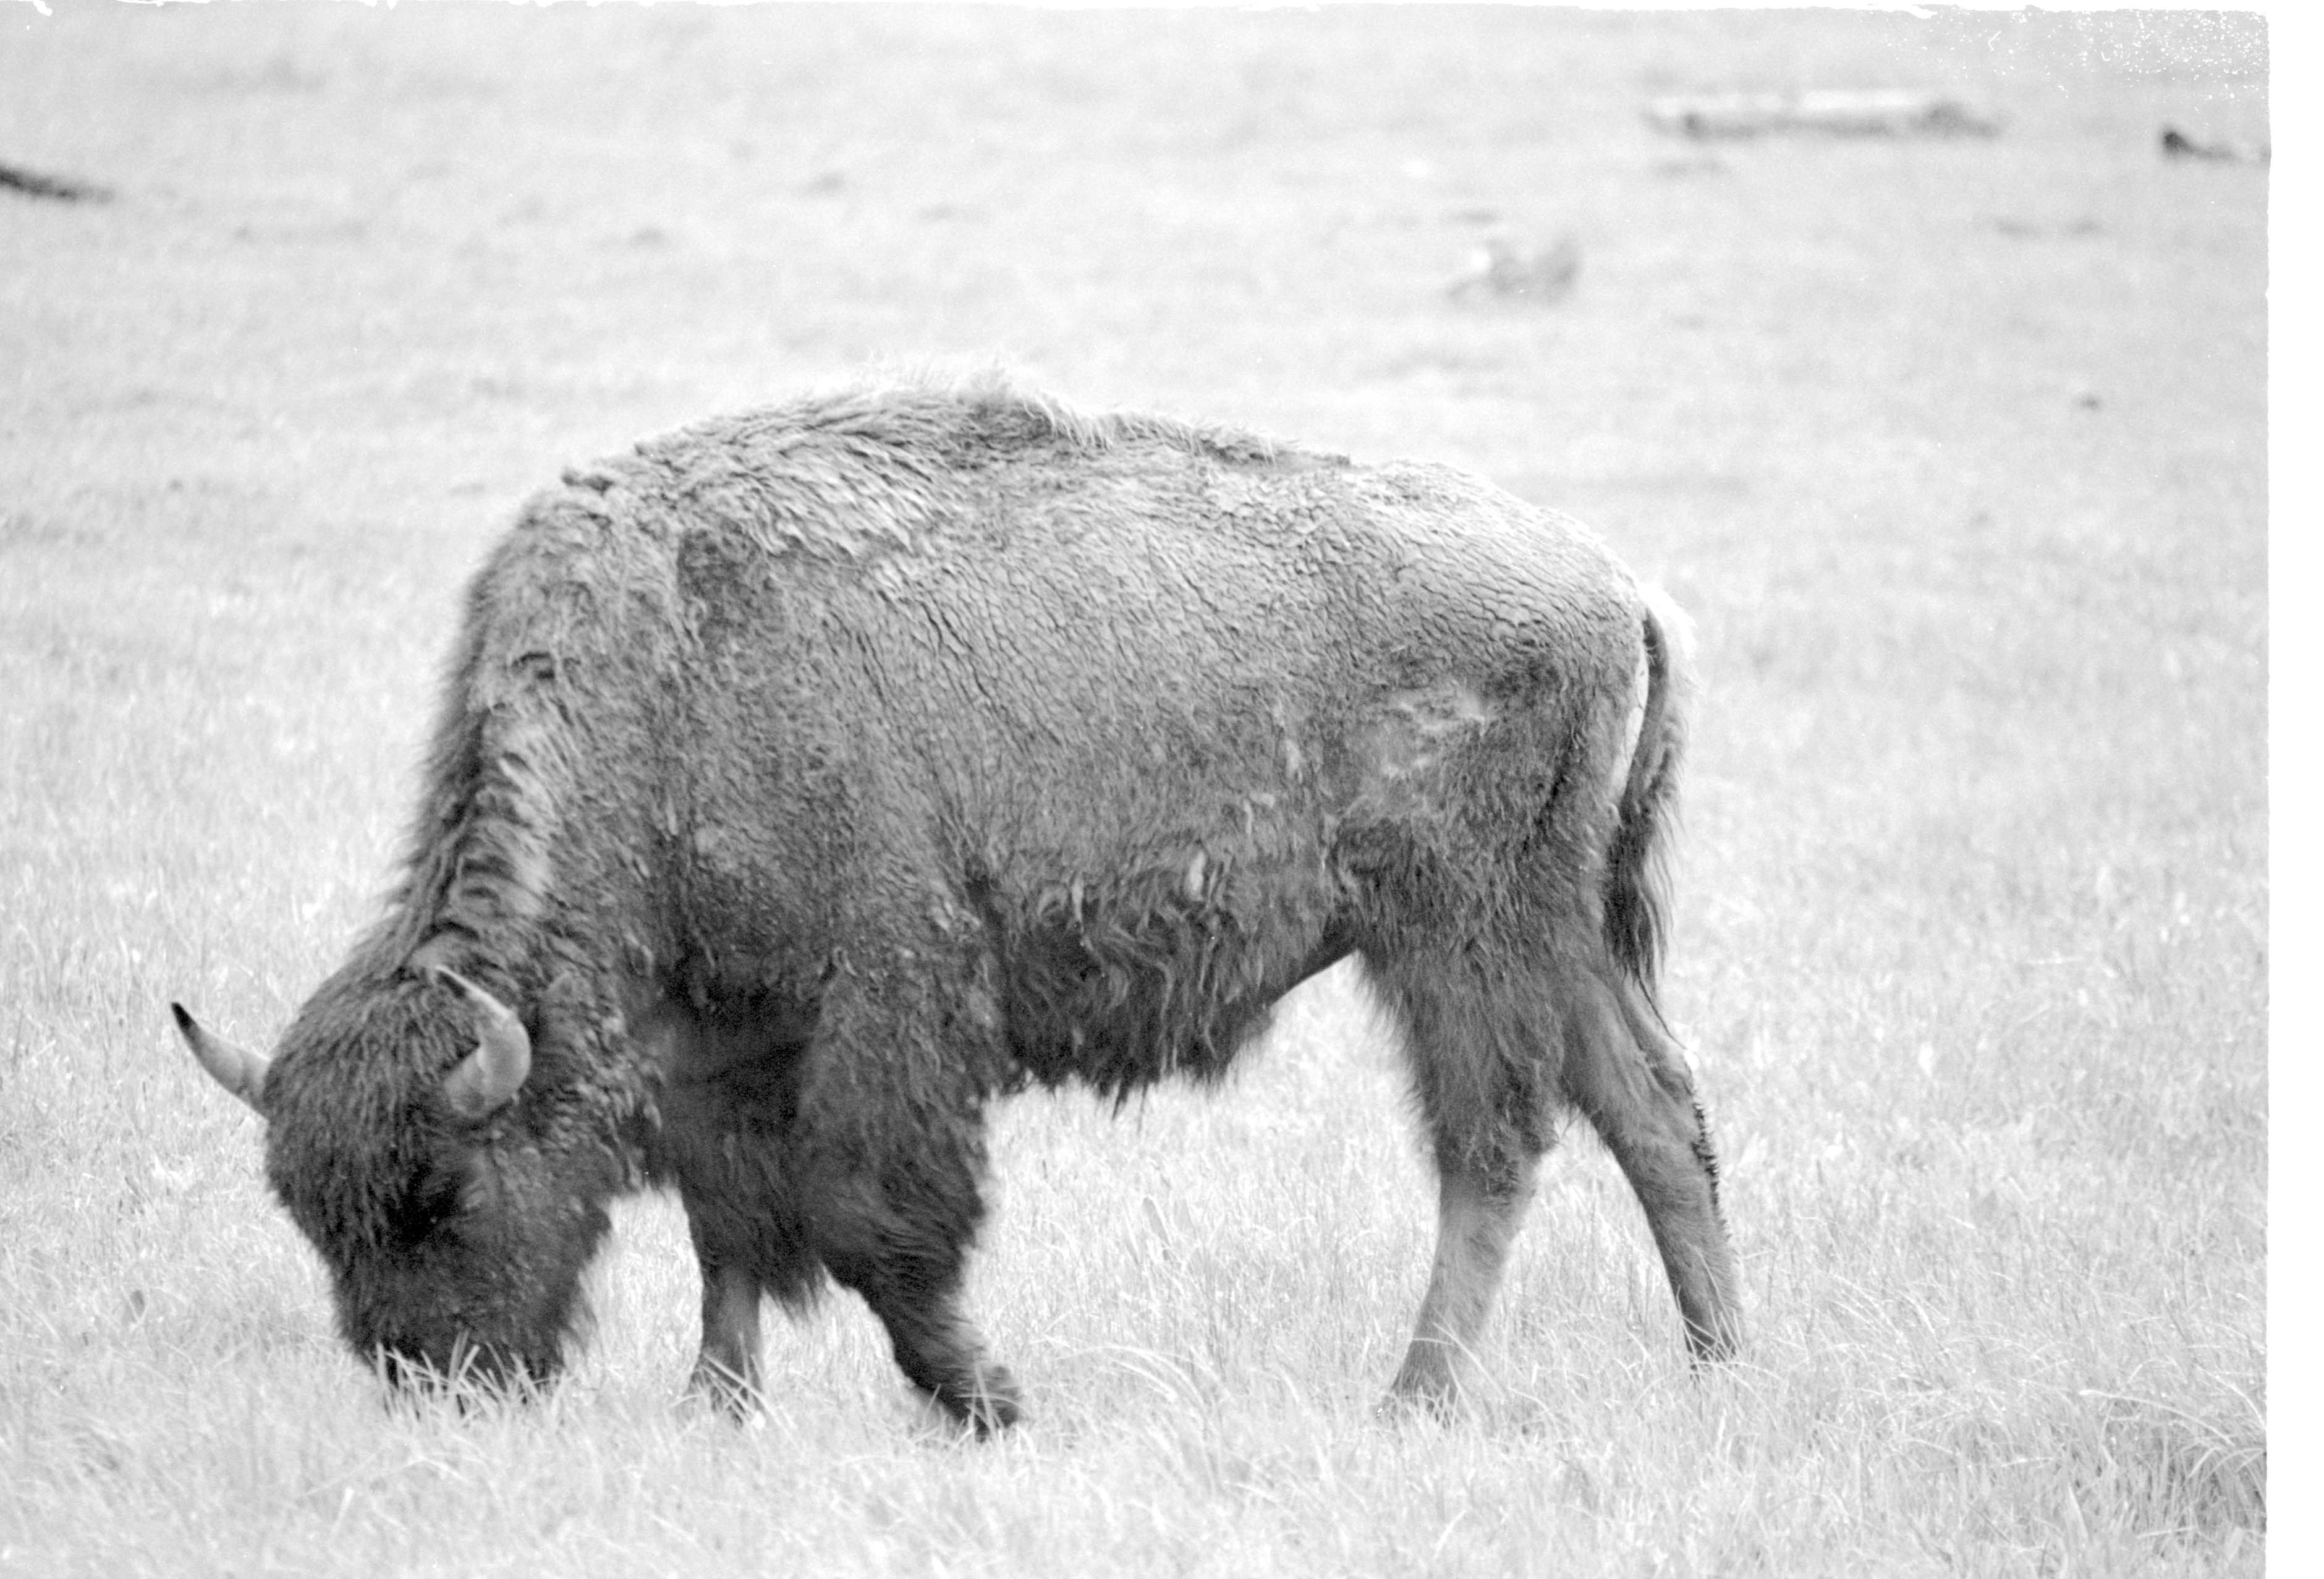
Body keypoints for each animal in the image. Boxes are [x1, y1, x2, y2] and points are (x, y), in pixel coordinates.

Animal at [173, 381, 1741, 1431]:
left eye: (440, 1193)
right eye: (309, 1213)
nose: (434, 1385)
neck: (667, 679)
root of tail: (1616, 586)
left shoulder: (885, 999)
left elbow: (871, 1220)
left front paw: (986, 1396)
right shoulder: (716, 1035)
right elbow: (727, 1226)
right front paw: (714, 1405)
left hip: (1463, 932)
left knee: (1493, 1142)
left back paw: (1412, 1394)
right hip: (1555, 934)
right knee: (1655, 1109)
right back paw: (1717, 1354)